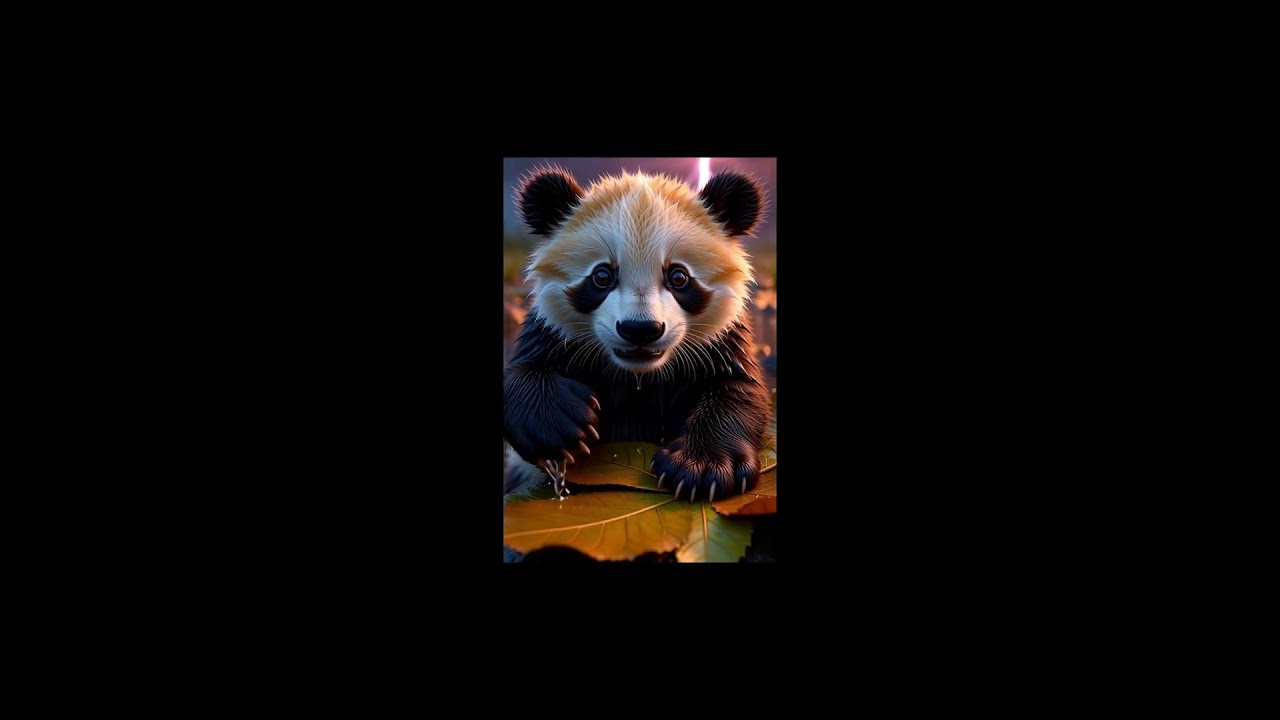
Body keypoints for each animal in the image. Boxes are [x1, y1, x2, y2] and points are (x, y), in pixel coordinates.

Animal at [504, 166, 771, 502]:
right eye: (602, 276)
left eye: (678, 277)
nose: (640, 329)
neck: (639, 375)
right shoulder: (550, 333)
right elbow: (522, 373)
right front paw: (560, 425)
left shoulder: (721, 342)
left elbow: (738, 389)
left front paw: (702, 468)